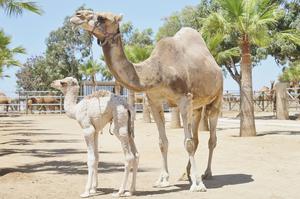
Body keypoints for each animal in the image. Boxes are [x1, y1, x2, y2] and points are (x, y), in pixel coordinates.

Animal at [71, 10, 223, 192]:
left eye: (102, 17)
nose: (77, 15)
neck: (158, 71)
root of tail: (216, 66)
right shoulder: (154, 100)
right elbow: (162, 142)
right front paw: (163, 179)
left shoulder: (184, 98)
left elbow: (188, 144)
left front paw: (198, 185)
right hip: (196, 107)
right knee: (197, 136)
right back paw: (185, 174)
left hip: (216, 97)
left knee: (211, 138)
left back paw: (206, 173)